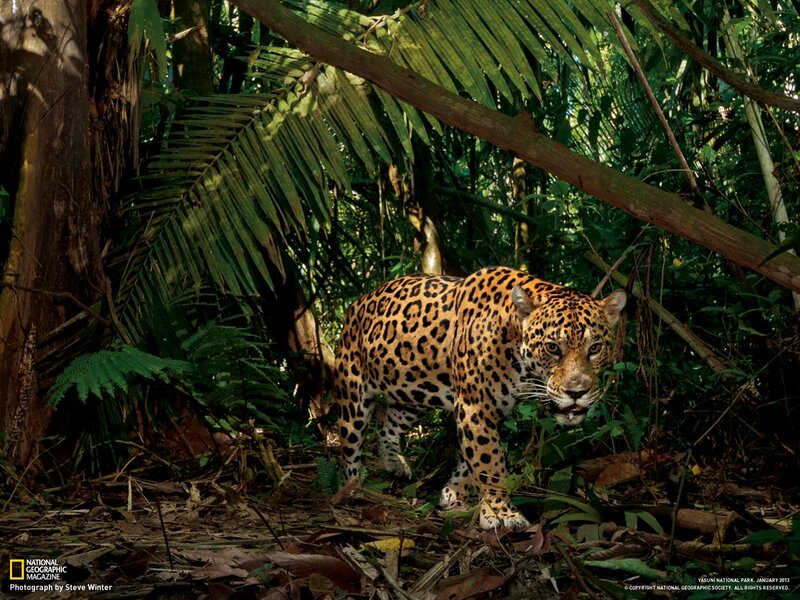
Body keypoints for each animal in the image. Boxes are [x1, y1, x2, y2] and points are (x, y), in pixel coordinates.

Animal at [335, 266, 626, 530]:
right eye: (553, 348)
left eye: (595, 348)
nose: (576, 392)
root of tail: (358, 302)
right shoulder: (475, 406)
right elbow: (489, 461)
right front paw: (503, 513)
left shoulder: (481, 410)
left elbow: (469, 458)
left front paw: (456, 493)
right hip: (353, 395)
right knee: (350, 446)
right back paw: (351, 489)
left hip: (412, 396)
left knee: (388, 427)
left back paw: (394, 462)